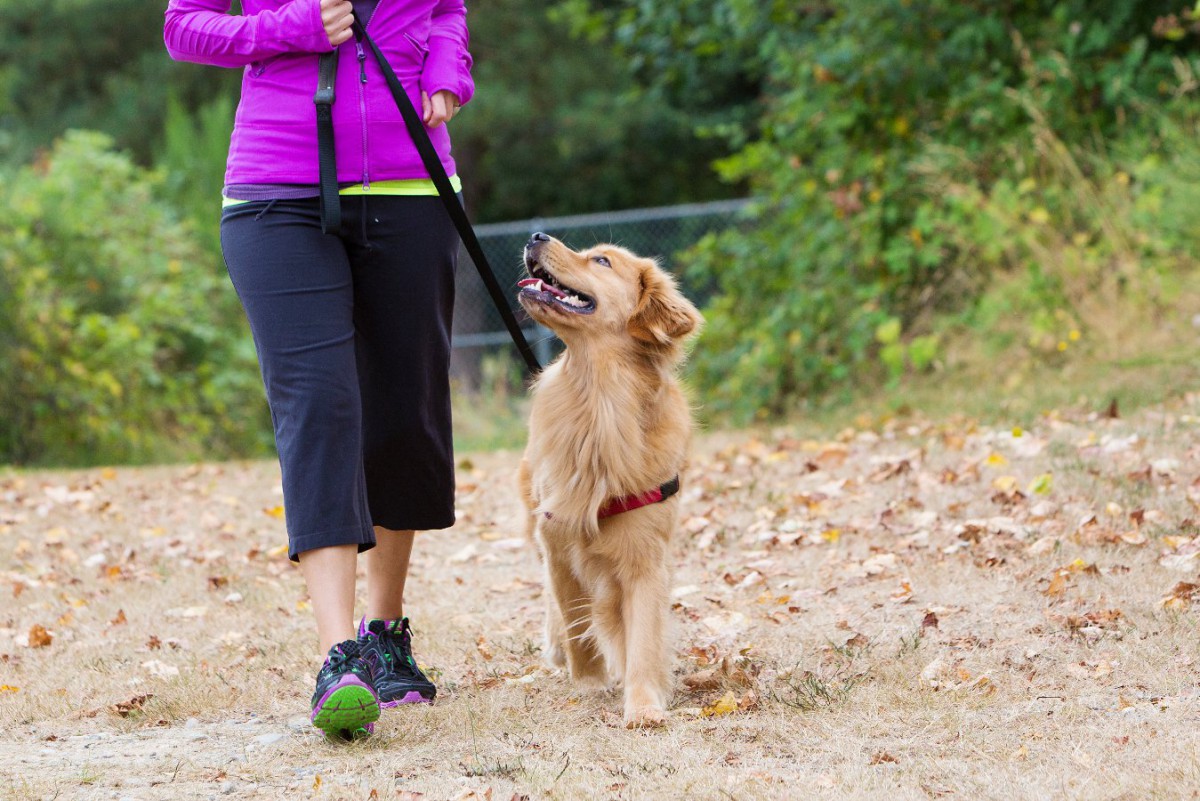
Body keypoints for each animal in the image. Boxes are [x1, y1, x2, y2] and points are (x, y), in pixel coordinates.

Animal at [516, 230, 700, 724]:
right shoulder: (558, 538)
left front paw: (643, 704)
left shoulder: (645, 554)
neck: (598, 402)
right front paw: (589, 681)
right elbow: (575, 620)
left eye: (601, 261)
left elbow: (644, 636)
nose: (536, 235)